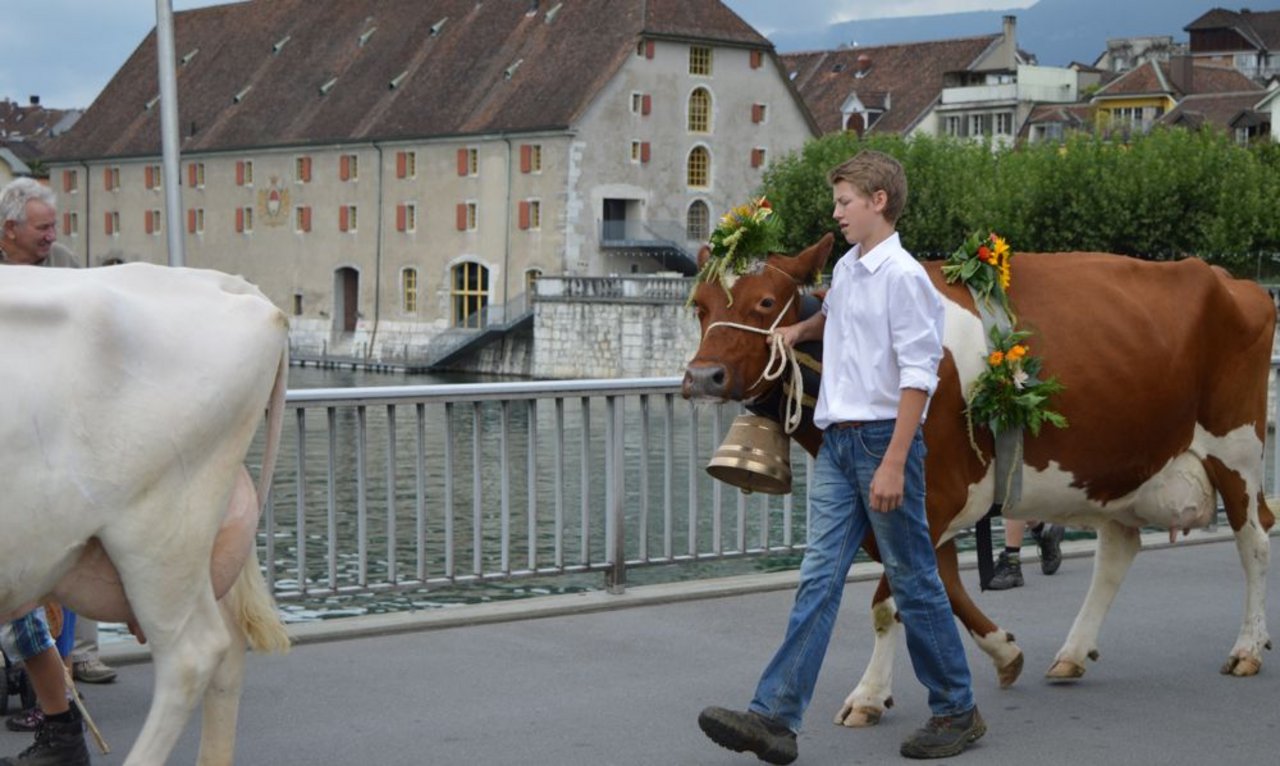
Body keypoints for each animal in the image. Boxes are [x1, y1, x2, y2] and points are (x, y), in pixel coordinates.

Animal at [686, 236, 1274, 727]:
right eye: (700, 305)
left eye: (766, 303)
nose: (701, 377)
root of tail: (1233, 279)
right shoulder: (928, 501)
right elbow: (939, 585)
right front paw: (1005, 652)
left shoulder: (932, 492)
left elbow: (894, 597)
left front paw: (869, 695)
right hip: (1125, 465)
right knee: (1117, 551)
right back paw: (1072, 654)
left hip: (1237, 452)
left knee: (1254, 541)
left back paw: (1248, 647)